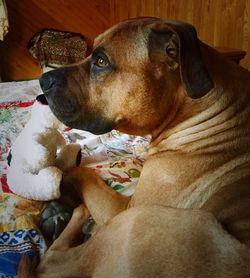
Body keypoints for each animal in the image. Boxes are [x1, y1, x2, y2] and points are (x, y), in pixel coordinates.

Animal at [21, 17, 250, 276]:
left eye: (101, 61)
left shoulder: (123, 207)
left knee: (51, 260)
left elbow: (79, 171)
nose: (42, 81)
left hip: (129, 224)